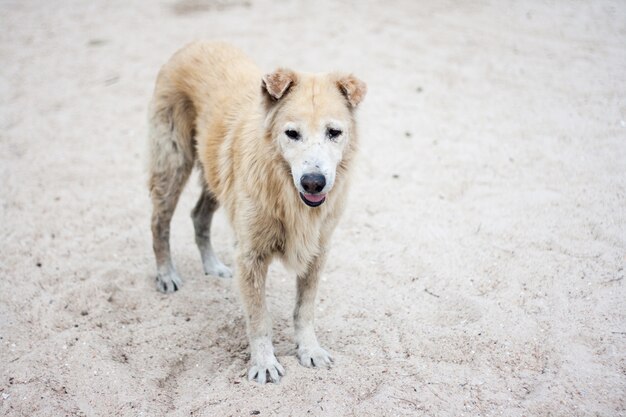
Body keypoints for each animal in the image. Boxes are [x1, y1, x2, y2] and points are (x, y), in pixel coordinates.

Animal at [147, 42, 366, 384]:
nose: (313, 182)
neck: (287, 192)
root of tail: (196, 43)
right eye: (291, 133)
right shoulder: (251, 256)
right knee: (159, 222)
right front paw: (264, 363)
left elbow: (304, 309)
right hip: (173, 164)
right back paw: (166, 274)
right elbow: (259, 318)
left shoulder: (318, 251)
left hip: (215, 178)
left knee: (198, 216)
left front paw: (309, 349)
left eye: (334, 132)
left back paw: (212, 265)